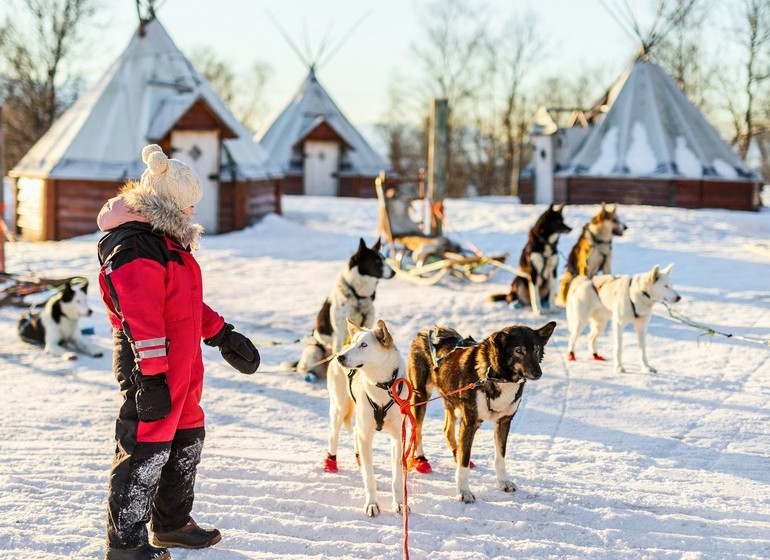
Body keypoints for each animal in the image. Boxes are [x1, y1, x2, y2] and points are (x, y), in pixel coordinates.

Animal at [296, 236, 392, 380]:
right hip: (314, 350)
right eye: (376, 261)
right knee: (302, 368)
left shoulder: (368, 324)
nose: (394, 272)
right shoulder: (339, 332)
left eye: (384, 259)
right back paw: (309, 375)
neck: (359, 297)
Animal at [328, 320, 404, 516]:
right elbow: (369, 478)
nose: (341, 358)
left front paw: (399, 503)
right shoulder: (366, 435)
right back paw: (330, 463)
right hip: (339, 409)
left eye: (364, 345)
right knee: (334, 436)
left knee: (355, 433)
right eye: (355, 343)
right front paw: (372, 504)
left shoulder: (398, 437)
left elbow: (397, 476)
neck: (382, 386)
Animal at [404, 320, 556, 504]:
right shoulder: (469, 423)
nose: (537, 373)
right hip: (421, 396)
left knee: (447, 430)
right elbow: (464, 463)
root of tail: (428, 330)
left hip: (451, 401)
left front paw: (503, 482)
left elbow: (500, 457)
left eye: (536, 349)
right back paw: (421, 459)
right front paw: (464, 491)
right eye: (518, 350)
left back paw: (455, 452)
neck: (497, 376)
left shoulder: (504, 422)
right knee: (417, 430)